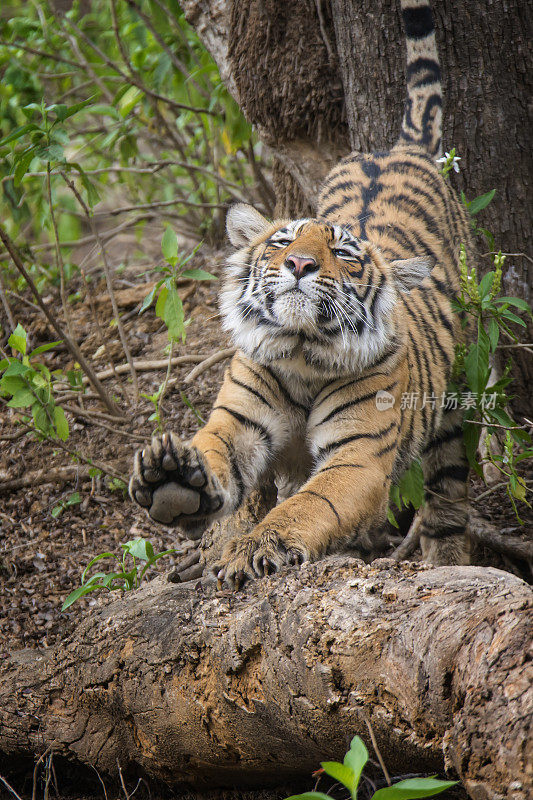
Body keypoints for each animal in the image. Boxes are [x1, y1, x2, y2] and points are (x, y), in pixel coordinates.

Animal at [129, 0, 470, 588]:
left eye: (345, 254)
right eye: (283, 240)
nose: (300, 264)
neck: (301, 352)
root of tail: (399, 148)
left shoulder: (357, 458)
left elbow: (310, 506)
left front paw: (255, 549)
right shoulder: (238, 419)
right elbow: (214, 450)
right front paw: (175, 481)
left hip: (454, 408)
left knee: (448, 498)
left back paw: (447, 562)